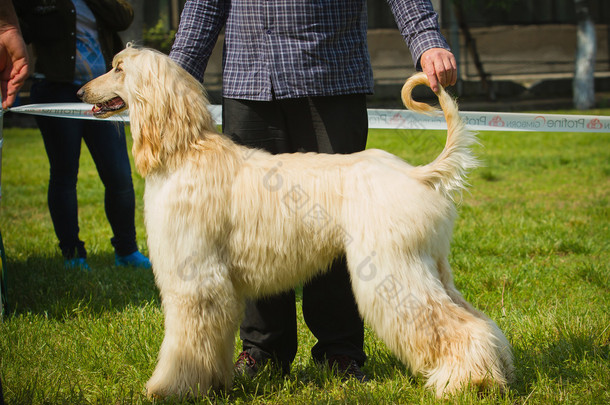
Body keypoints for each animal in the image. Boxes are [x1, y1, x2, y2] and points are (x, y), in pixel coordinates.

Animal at [78, 45, 510, 396]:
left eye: (118, 68)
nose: (81, 93)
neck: (183, 152)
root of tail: (418, 173)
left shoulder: (195, 276)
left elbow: (184, 342)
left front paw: (169, 388)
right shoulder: (215, 283)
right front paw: (217, 383)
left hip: (395, 267)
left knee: (454, 324)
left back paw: (465, 382)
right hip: (431, 263)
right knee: (478, 320)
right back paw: (491, 373)